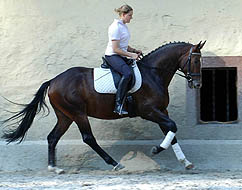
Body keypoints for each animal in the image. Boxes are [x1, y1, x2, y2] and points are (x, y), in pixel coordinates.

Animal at [1, 40, 206, 173]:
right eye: (196, 61)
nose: (197, 85)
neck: (153, 74)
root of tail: (53, 80)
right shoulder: (149, 111)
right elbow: (172, 127)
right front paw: (156, 149)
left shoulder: (162, 110)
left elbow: (171, 132)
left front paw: (185, 162)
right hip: (78, 113)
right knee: (88, 138)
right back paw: (115, 163)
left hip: (65, 115)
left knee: (53, 137)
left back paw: (54, 167)